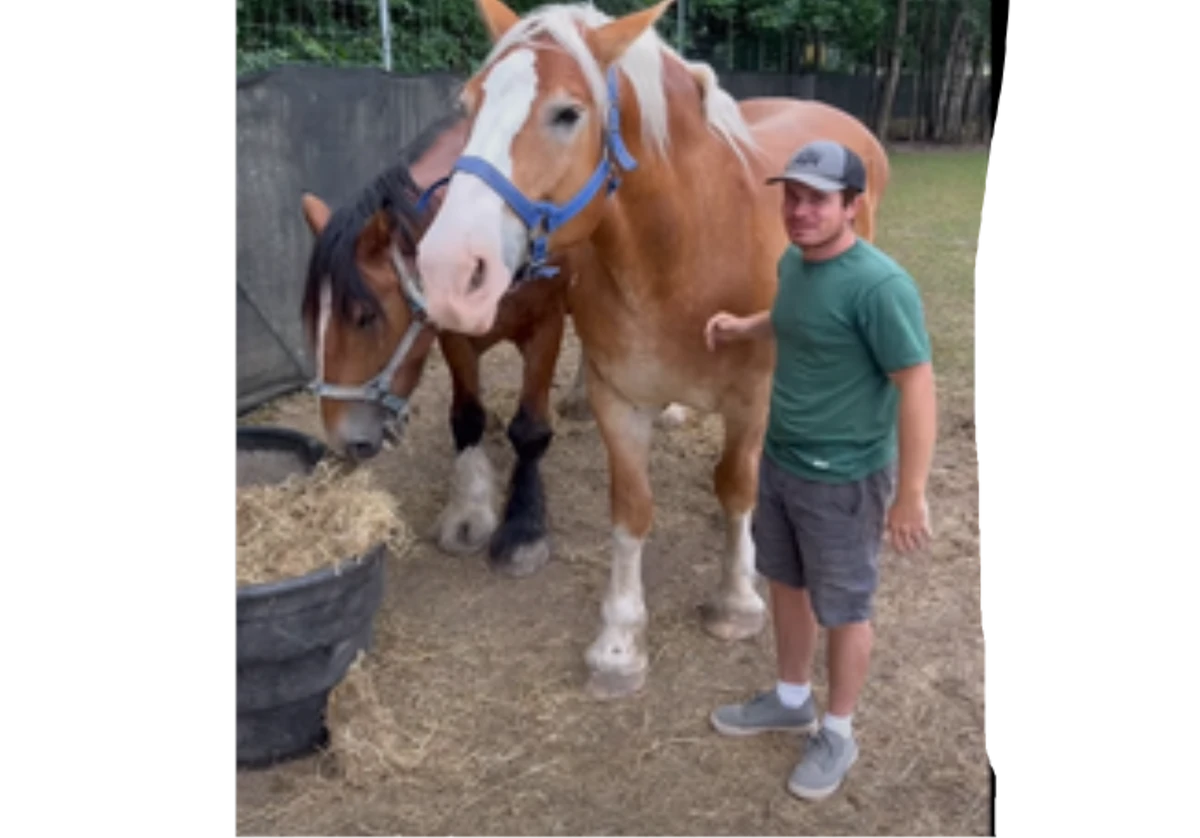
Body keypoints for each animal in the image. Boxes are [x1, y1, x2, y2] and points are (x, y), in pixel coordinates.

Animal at [298, 110, 693, 577]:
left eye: (365, 316)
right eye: (315, 319)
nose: (344, 441)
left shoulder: (545, 325)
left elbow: (530, 429)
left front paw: (524, 527)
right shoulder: (454, 335)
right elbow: (467, 417)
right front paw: (469, 510)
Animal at [412, 0, 891, 698]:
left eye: (567, 113)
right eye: (469, 103)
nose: (449, 269)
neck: (684, 252)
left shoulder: (752, 397)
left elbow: (736, 487)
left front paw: (736, 600)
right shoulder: (619, 400)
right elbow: (631, 510)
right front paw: (618, 643)